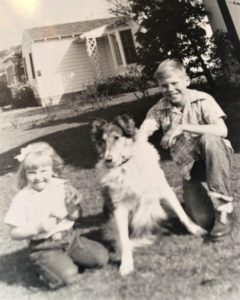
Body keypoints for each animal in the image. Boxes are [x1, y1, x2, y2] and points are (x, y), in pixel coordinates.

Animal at [91, 114, 205, 276]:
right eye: (102, 141)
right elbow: (124, 239)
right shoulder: (119, 206)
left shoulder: (163, 189)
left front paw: (196, 230)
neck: (127, 165)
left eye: (116, 137)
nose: (108, 160)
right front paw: (126, 264)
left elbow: (182, 214)